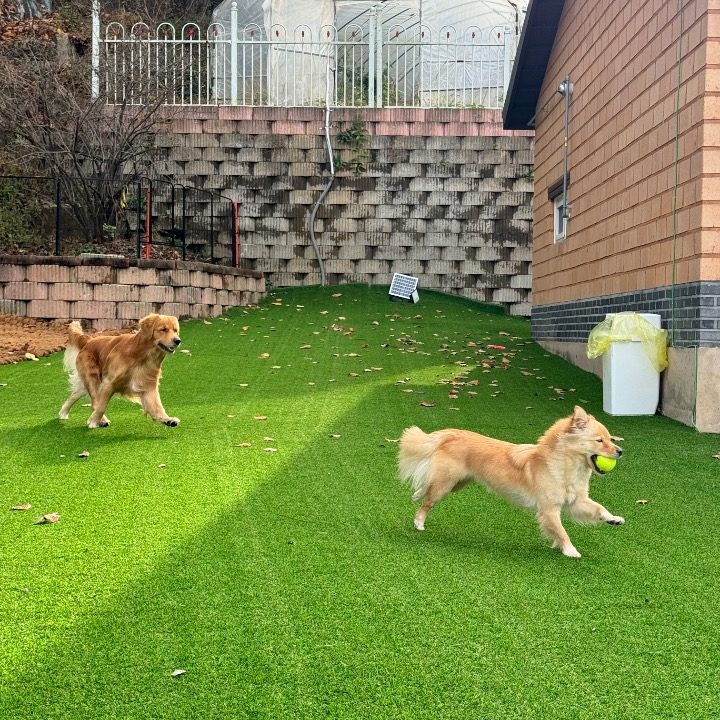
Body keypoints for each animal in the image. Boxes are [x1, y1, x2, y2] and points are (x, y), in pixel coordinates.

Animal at [400, 404, 624, 556]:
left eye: (611, 439)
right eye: (599, 441)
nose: (621, 451)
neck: (568, 466)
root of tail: (452, 435)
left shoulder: (577, 502)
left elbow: (598, 508)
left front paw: (613, 519)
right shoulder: (549, 509)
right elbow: (561, 531)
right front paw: (570, 550)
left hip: (457, 483)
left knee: (426, 485)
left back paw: (416, 494)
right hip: (446, 485)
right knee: (428, 501)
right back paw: (418, 522)